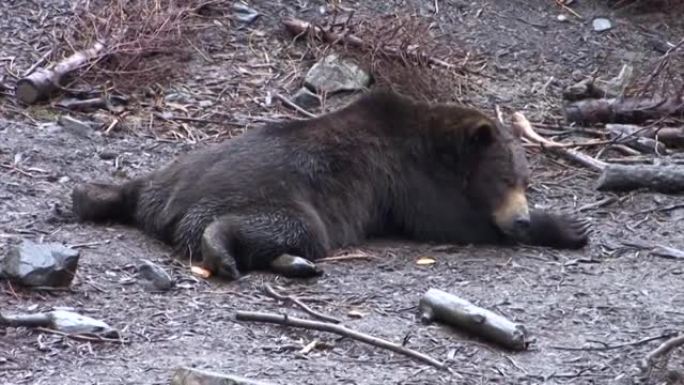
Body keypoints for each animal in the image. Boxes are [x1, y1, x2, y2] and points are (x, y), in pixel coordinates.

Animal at [72, 90, 592, 280]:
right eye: (504, 178)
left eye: (525, 179)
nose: (520, 219)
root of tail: (170, 206)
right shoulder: (406, 179)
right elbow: (452, 221)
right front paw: (569, 226)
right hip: (277, 194)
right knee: (292, 226)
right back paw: (223, 249)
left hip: (174, 168)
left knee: (133, 185)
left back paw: (87, 196)